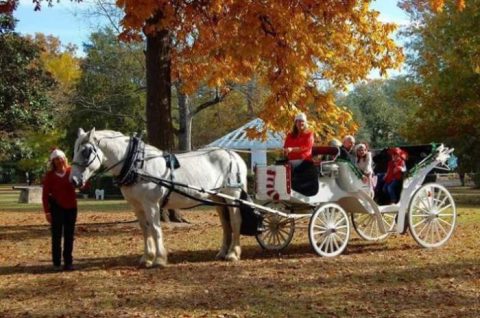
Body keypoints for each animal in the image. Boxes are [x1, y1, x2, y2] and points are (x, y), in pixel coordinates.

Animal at [70, 128, 248, 268]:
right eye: (75, 150)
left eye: (85, 152)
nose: (74, 181)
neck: (137, 164)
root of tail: (233, 155)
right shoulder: (137, 206)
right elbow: (145, 229)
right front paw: (147, 258)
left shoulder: (151, 204)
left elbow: (155, 229)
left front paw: (159, 259)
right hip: (218, 198)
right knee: (225, 224)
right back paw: (223, 252)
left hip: (232, 196)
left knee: (235, 221)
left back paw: (233, 253)